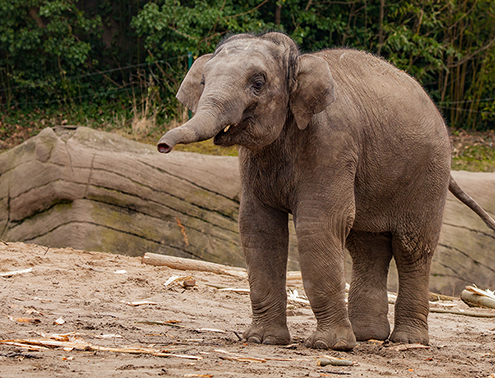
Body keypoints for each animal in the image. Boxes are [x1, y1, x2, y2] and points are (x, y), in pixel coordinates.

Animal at [158, 31, 495, 350]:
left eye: (258, 83)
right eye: (203, 81)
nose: (162, 146)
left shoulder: (331, 143)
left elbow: (318, 224)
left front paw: (328, 345)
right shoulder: (255, 160)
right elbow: (258, 227)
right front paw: (262, 340)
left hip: (428, 173)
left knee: (412, 248)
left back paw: (406, 341)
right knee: (368, 247)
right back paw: (367, 336)